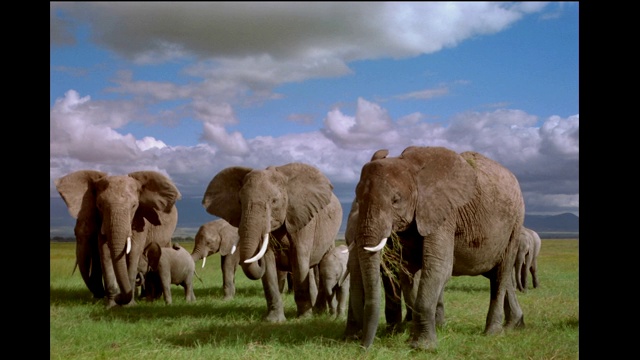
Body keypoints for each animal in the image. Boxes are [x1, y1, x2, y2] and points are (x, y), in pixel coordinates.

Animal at [53, 170, 181, 308]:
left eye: (134, 205)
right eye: (99, 205)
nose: (119, 296)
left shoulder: (141, 220)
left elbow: (133, 252)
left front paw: (129, 305)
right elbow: (104, 252)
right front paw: (111, 305)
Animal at [202, 162, 342, 322]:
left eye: (274, 201)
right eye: (240, 202)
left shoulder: (303, 218)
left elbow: (299, 260)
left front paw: (304, 318)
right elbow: (268, 265)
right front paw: (273, 320)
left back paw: (319, 312)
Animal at [344, 146, 524, 348]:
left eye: (396, 200)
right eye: (358, 199)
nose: (363, 348)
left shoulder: (444, 212)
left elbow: (439, 265)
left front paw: (421, 346)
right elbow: (401, 270)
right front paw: (399, 335)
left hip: (515, 225)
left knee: (501, 275)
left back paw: (492, 333)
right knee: (499, 275)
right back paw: (513, 325)